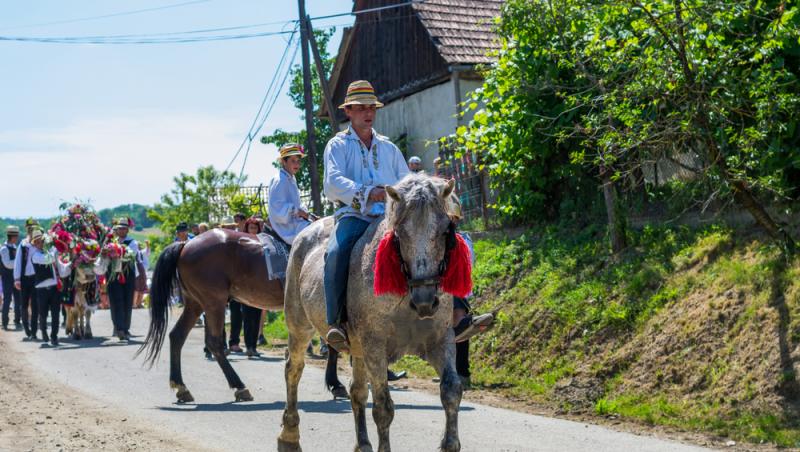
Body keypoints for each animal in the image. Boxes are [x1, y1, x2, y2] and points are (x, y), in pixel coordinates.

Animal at [135, 230, 346, 402]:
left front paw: (335, 383)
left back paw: (181, 387)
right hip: (214, 303)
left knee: (177, 336)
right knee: (214, 342)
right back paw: (239, 386)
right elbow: (333, 345)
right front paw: (336, 384)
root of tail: (186, 244)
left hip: (195, 303)